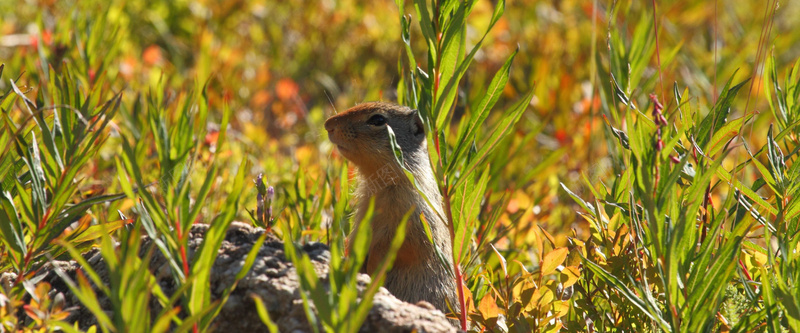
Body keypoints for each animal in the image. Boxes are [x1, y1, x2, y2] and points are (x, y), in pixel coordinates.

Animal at [320, 101, 456, 316]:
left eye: (378, 120)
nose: (328, 125)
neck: (381, 184)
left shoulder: (415, 223)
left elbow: (394, 247)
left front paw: (372, 270)